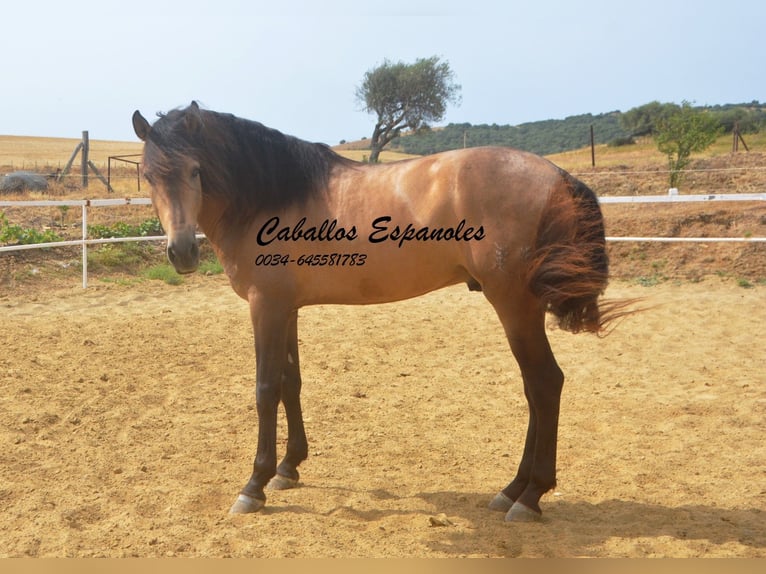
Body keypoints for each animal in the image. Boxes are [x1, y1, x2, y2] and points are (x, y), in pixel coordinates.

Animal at [132, 101, 628, 522]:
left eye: (196, 171)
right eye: (149, 176)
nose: (182, 253)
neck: (269, 197)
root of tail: (558, 177)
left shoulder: (265, 307)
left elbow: (265, 389)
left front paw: (254, 484)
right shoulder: (287, 309)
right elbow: (292, 383)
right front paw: (289, 468)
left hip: (515, 306)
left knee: (545, 384)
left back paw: (530, 496)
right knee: (534, 389)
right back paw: (512, 490)